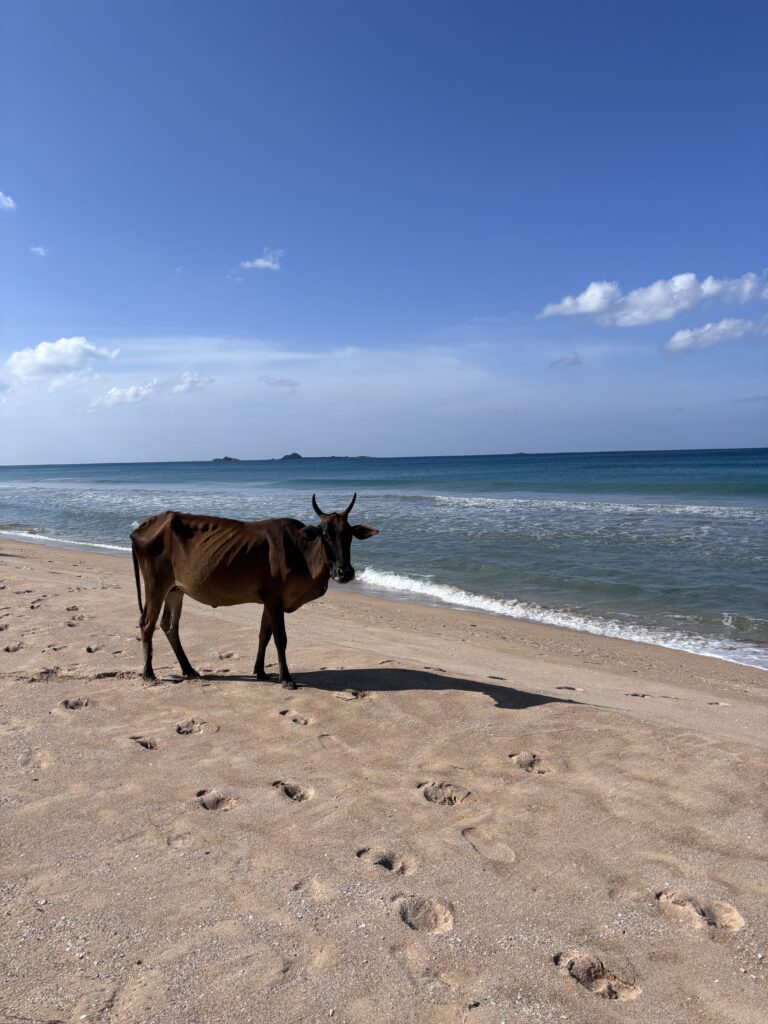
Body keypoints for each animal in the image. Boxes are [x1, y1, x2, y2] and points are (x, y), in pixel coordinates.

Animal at [130, 493, 378, 688]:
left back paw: (188, 669)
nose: (344, 572)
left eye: (349, 536)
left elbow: (263, 635)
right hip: (156, 585)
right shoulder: (275, 600)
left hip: (175, 589)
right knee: (147, 623)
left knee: (169, 626)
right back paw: (148, 673)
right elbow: (280, 638)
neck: (301, 552)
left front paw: (260, 672)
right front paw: (286, 679)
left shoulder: (269, 600)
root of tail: (142, 526)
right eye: (325, 535)